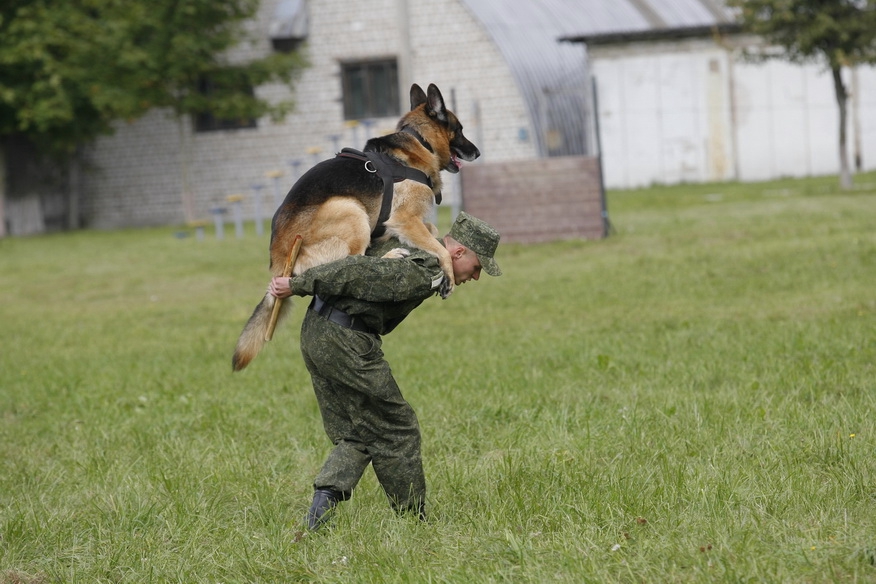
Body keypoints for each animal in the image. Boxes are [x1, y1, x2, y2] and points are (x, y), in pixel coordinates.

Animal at [231, 83, 480, 370]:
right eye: (459, 129)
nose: (478, 152)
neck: (420, 141)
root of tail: (279, 263)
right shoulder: (405, 218)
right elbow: (439, 250)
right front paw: (447, 276)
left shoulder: (408, 222)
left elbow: (433, 230)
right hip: (349, 208)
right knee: (352, 260)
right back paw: (390, 255)